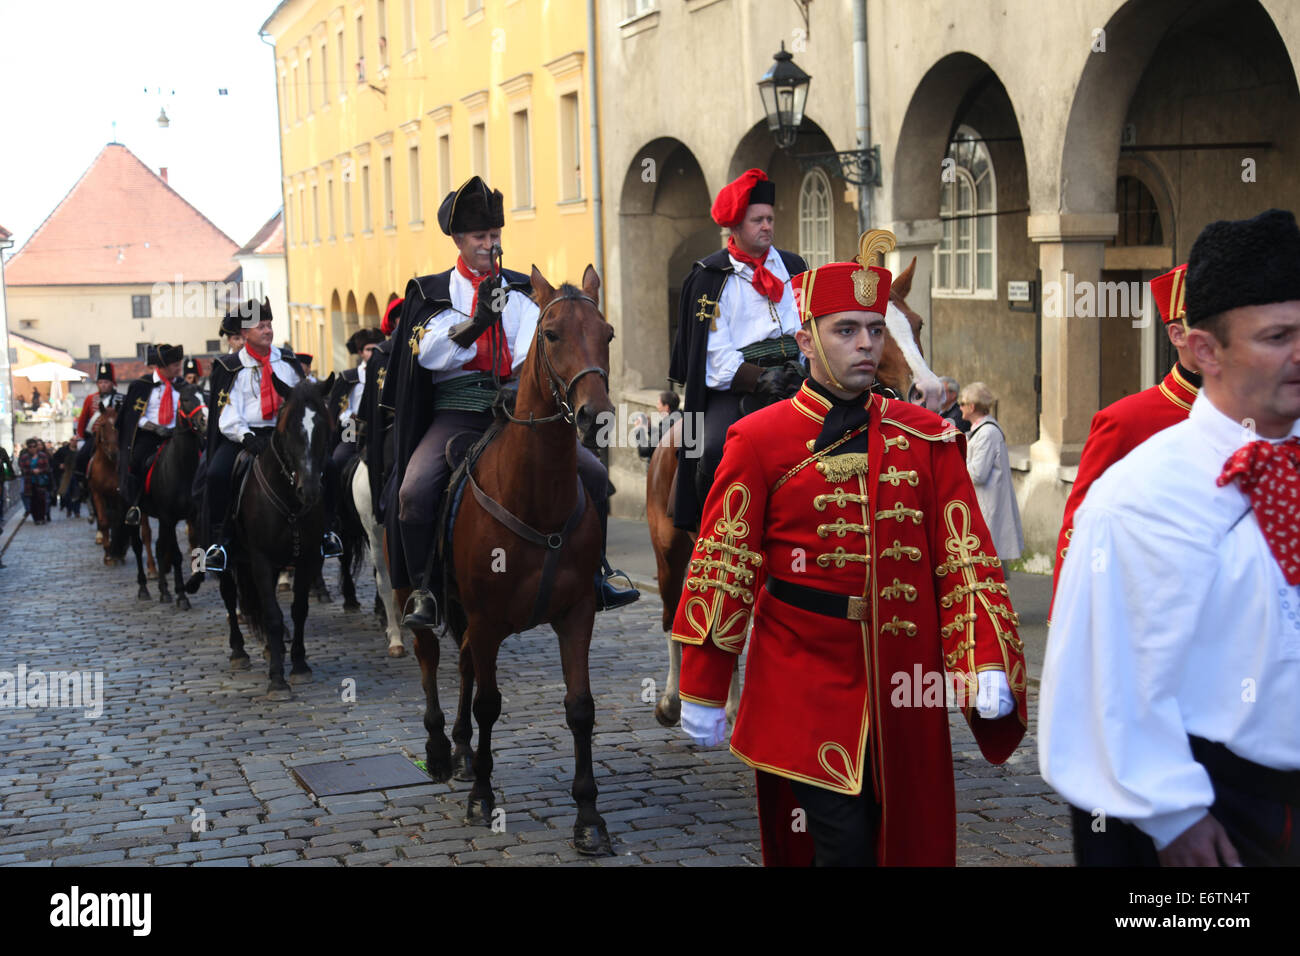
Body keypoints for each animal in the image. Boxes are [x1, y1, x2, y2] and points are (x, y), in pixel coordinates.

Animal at [397, 265, 616, 858]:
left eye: (608, 334)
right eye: (552, 335)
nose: (595, 417)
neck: (535, 498)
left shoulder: (576, 615)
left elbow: (580, 708)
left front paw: (589, 816)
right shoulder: (490, 619)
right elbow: (489, 704)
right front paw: (481, 795)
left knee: (465, 665)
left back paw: (463, 750)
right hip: (417, 591)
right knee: (430, 659)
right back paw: (440, 750)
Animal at [647, 254, 941, 723]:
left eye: (916, 323)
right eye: (868, 328)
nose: (929, 391)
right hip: (671, 548)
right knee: (677, 611)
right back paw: (676, 699)